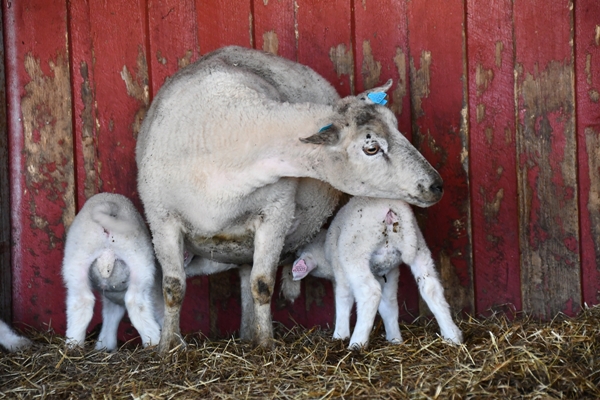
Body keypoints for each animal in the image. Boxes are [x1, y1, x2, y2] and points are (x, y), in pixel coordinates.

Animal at [62, 192, 164, 348]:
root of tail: (111, 206)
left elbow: (111, 316)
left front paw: (105, 345)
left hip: (77, 260)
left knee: (82, 301)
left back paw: (74, 345)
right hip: (141, 263)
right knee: (136, 302)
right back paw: (154, 343)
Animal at [282, 198, 464, 348]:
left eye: (299, 253)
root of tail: (393, 210)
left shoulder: (342, 273)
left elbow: (343, 301)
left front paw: (339, 336)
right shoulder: (389, 272)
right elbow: (388, 305)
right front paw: (395, 339)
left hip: (355, 253)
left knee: (370, 293)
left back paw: (356, 343)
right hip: (419, 246)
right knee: (430, 287)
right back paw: (452, 336)